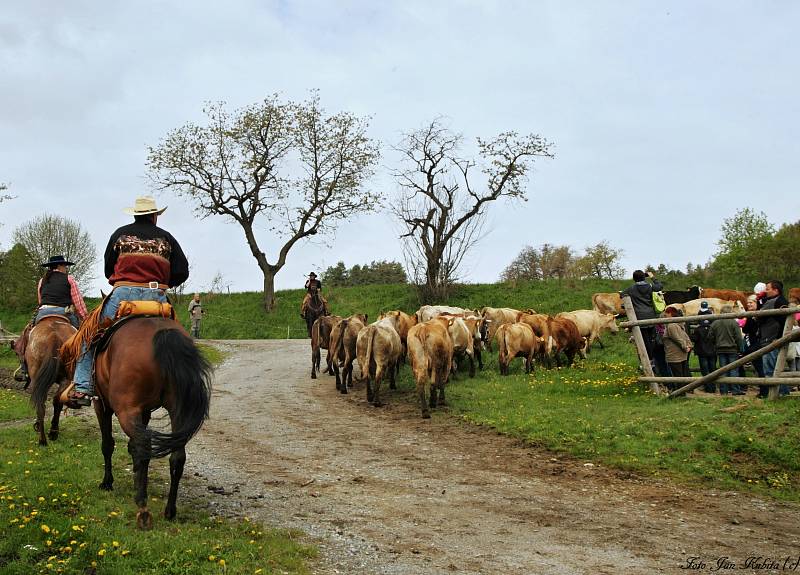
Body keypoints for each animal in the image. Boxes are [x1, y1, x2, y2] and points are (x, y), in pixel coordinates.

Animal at [26, 316, 77, 446]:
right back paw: (48, 435)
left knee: (43, 403)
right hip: (65, 378)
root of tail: (53, 336)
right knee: (53, 401)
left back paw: (45, 437)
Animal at [59, 316, 214, 532]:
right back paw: (169, 510)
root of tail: (163, 333)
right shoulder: (144, 411)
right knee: (176, 456)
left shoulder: (102, 406)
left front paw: (107, 483)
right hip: (176, 409)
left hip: (126, 410)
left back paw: (143, 508)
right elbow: (134, 449)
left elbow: (108, 445)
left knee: (143, 445)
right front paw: (136, 480)